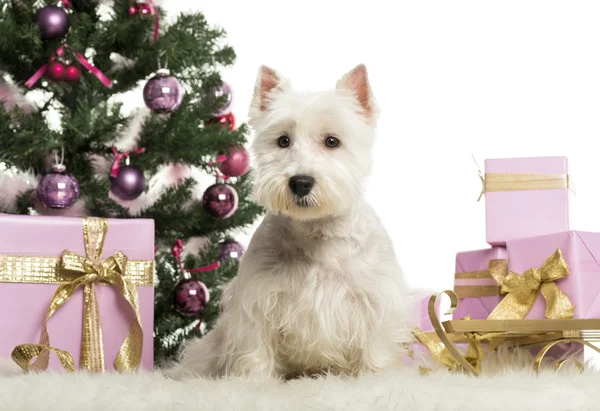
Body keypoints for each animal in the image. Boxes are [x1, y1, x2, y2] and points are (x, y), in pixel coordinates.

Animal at [166, 65, 414, 384]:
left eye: (332, 141)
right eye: (283, 140)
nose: (301, 182)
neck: (315, 231)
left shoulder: (374, 299)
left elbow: (375, 348)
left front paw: (375, 378)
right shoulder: (256, 301)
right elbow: (255, 350)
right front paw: (254, 381)